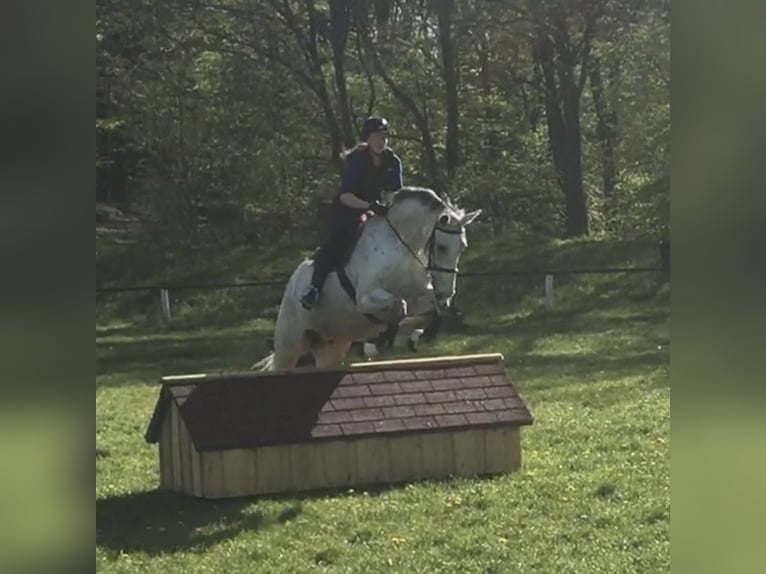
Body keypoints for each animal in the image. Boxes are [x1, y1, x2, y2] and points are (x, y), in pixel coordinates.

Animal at [252, 187, 480, 372]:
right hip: (290, 343)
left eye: (463, 247)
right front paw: (382, 339)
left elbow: (429, 311)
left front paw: (414, 338)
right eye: (441, 247)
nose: (446, 295)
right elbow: (400, 306)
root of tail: (290, 287)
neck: (401, 247)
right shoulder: (365, 299)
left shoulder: (419, 297)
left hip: (331, 346)